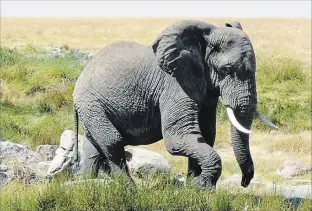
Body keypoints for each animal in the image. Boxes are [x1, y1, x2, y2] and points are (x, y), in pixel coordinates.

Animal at [72, 19, 276, 188]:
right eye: (226, 69)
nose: (244, 182)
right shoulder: (176, 84)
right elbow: (178, 137)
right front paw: (199, 185)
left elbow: (205, 134)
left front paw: (196, 188)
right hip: (90, 103)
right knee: (112, 141)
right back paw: (130, 189)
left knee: (93, 146)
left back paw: (85, 182)